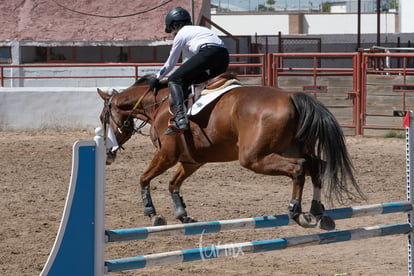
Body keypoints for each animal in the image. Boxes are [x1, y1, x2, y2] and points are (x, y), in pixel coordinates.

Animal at [98, 74, 366, 230]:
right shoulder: (192, 161)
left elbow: (144, 178)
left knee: (298, 167)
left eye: (102, 117)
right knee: (317, 166)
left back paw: (297, 211)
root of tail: (291, 97)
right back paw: (318, 211)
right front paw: (182, 214)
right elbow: (174, 184)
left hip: (254, 158)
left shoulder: (166, 156)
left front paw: (152, 213)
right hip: (291, 148)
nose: (108, 155)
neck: (160, 105)